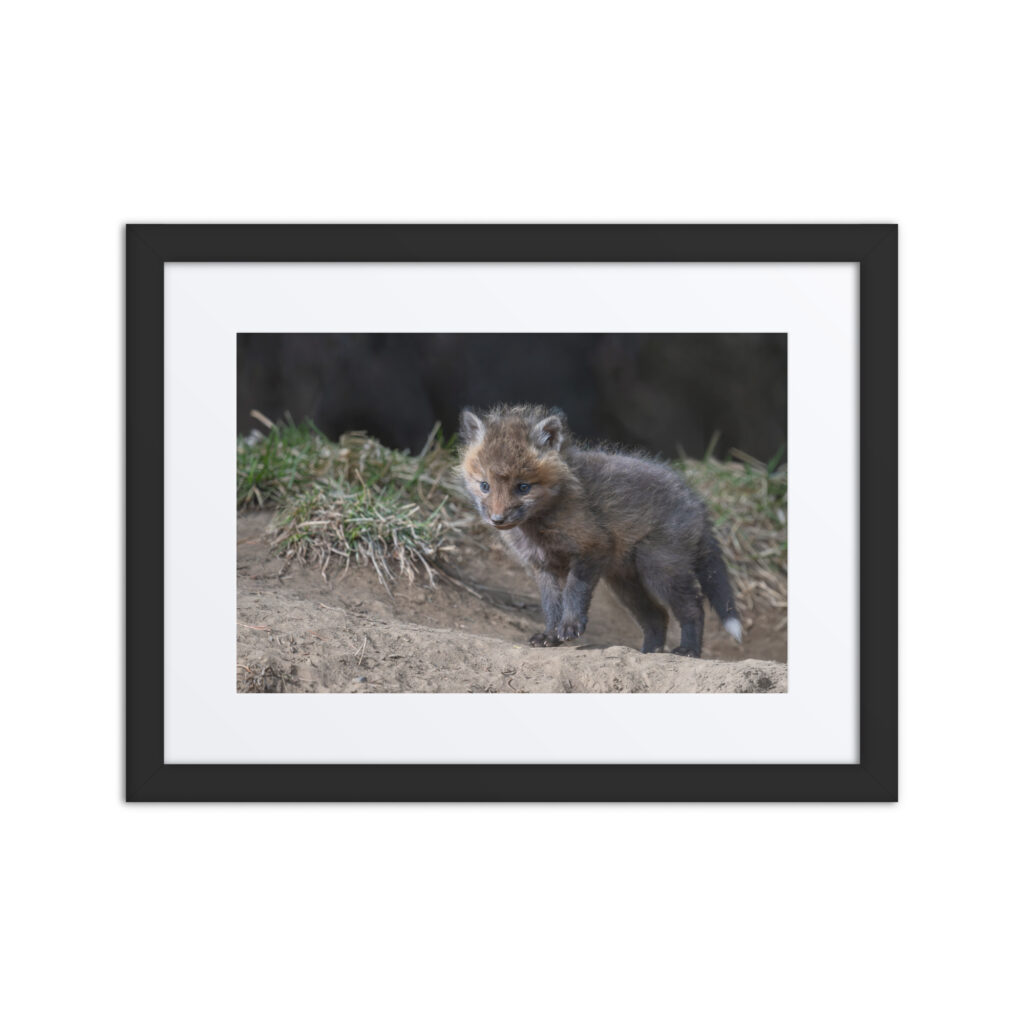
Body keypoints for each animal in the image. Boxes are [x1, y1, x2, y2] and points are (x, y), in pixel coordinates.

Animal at [458, 404, 742, 657]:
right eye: (485, 485)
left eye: (523, 487)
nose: (498, 519)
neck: (539, 528)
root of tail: (696, 501)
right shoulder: (543, 565)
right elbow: (551, 606)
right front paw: (550, 636)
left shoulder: (593, 547)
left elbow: (574, 591)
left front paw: (570, 626)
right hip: (625, 582)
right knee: (657, 616)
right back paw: (649, 652)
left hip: (659, 568)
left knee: (694, 607)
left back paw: (688, 650)